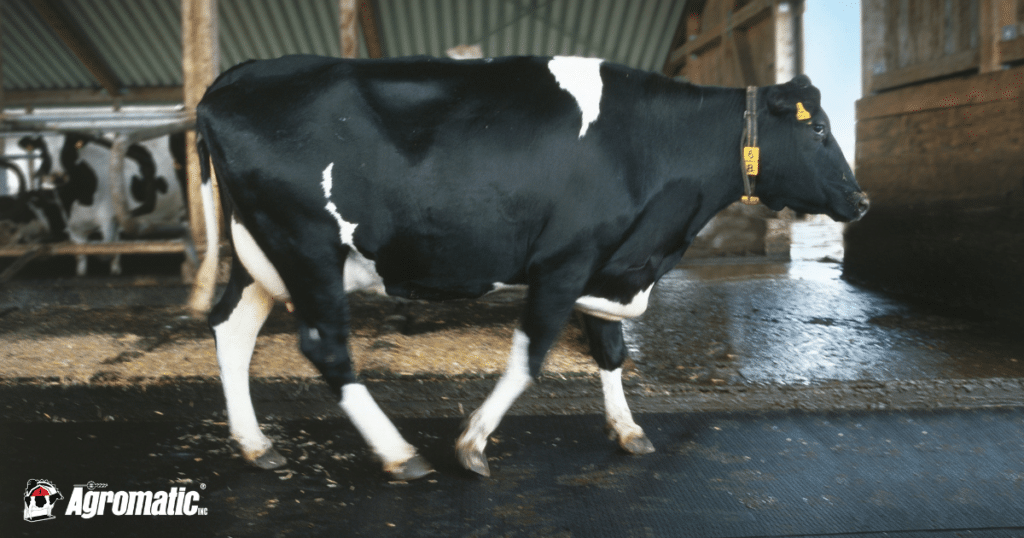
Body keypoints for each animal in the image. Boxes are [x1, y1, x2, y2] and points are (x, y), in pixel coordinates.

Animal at [194, 54, 869, 480]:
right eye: (820, 129)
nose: (861, 201)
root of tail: (231, 80)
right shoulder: (565, 261)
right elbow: (531, 356)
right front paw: (471, 444)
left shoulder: (612, 261)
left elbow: (611, 351)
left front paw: (627, 430)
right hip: (307, 246)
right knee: (325, 346)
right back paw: (398, 453)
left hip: (261, 254)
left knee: (231, 328)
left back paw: (256, 445)